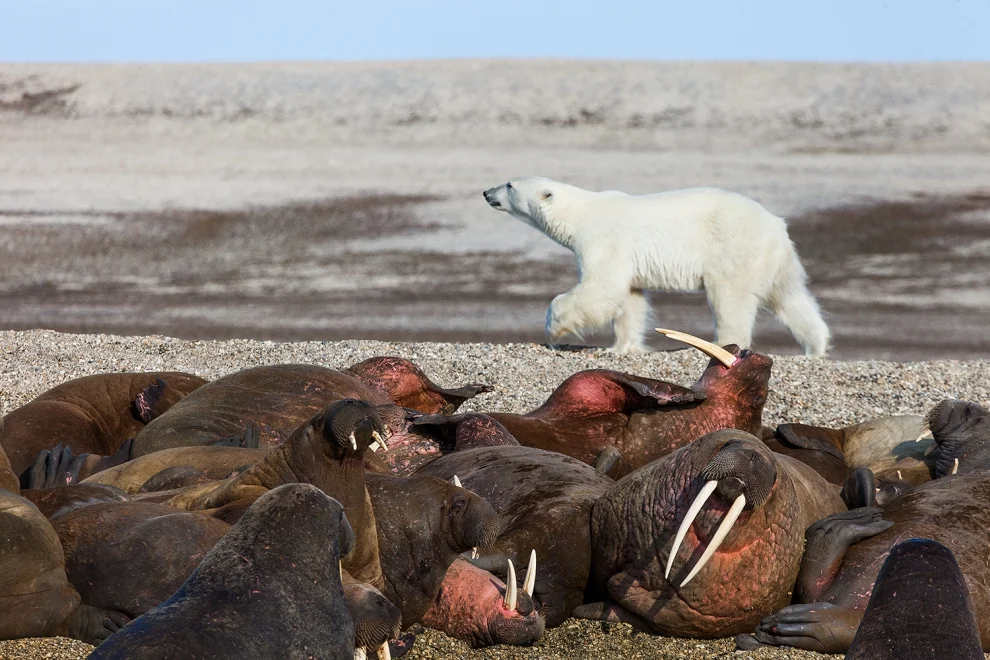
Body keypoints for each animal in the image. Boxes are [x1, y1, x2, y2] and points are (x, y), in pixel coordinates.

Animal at [484, 177, 832, 356]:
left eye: (510, 185)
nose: (487, 192)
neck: (580, 214)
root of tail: (776, 224)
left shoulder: (605, 239)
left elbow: (601, 288)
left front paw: (554, 328)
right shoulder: (626, 258)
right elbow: (630, 300)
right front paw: (622, 348)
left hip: (734, 248)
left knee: (730, 300)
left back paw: (721, 345)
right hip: (776, 260)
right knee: (790, 298)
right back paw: (815, 347)